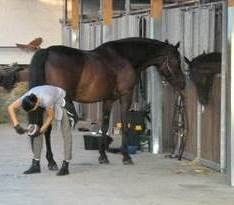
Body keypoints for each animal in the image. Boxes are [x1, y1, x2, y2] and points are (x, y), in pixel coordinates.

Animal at [0, 36, 186, 165]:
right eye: (176, 61)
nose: (182, 84)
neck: (125, 57)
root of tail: (47, 52)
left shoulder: (108, 99)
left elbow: (104, 125)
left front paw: (103, 156)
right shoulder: (125, 96)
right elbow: (125, 123)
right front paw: (126, 156)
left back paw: (50, 162)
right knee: (47, 129)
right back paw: (52, 162)